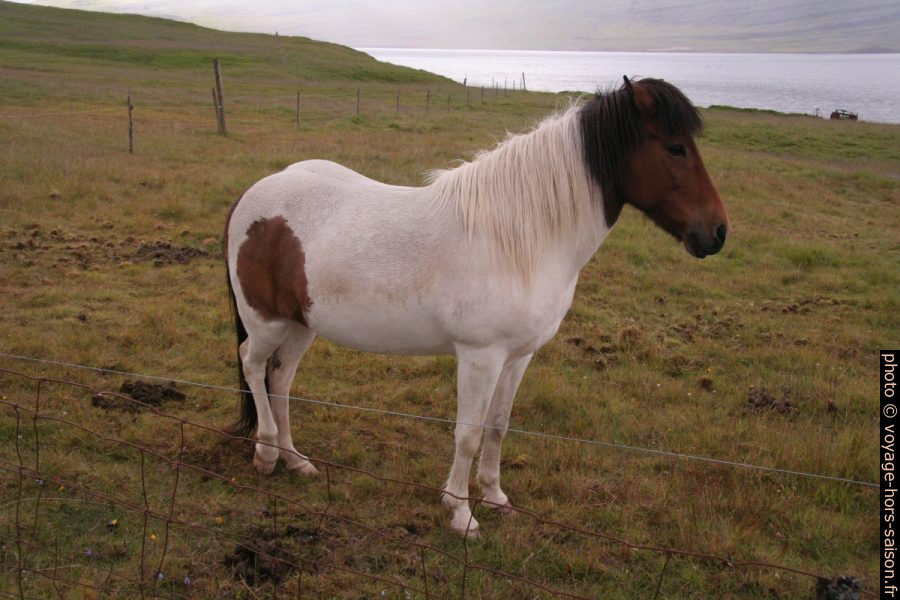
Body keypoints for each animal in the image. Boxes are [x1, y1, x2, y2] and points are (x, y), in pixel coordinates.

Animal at [224, 76, 728, 537]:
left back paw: (295, 460)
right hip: (267, 322)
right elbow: (467, 434)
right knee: (253, 365)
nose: (717, 232)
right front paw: (460, 513)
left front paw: (495, 496)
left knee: (280, 379)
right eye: (676, 148)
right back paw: (266, 453)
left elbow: (497, 427)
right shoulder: (479, 356)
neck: (521, 238)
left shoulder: (518, 356)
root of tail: (254, 193)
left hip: (301, 323)